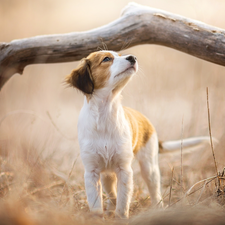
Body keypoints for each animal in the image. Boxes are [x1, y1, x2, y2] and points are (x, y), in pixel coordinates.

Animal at [65, 50, 214, 218]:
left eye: (120, 55)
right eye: (106, 59)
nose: (132, 57)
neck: (105, 115)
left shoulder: (124, 169)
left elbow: (123, 203)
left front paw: (121, 218)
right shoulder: (92, 171)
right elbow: (96, 203)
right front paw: (98, 218)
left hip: (149, 167)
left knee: (155, 192)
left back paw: (158, 210)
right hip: (107, 174)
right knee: (112, 194)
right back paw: (110, 208)